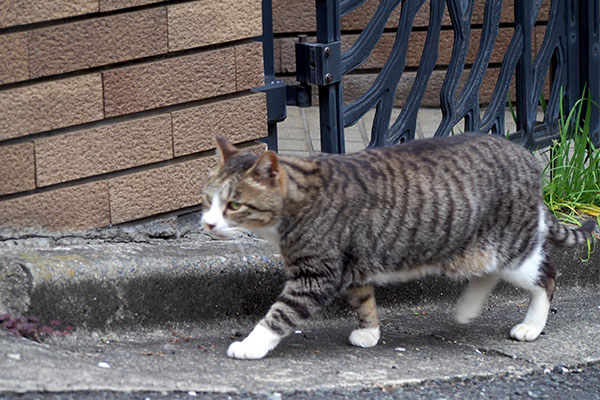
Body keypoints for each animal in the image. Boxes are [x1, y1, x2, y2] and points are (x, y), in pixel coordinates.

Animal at [202, 134, 596, 360]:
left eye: (234, 205)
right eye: (207, 200)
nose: (207, 223)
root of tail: (526, 157)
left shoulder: (317, 274)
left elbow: (280, 313)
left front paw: (251, 344)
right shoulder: (353, 263)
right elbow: (363, 299)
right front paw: (370, 331)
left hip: (514, 250)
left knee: (547, 276)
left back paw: (531, 326)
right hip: (476, 251)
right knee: (487, 274)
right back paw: (467, 310)